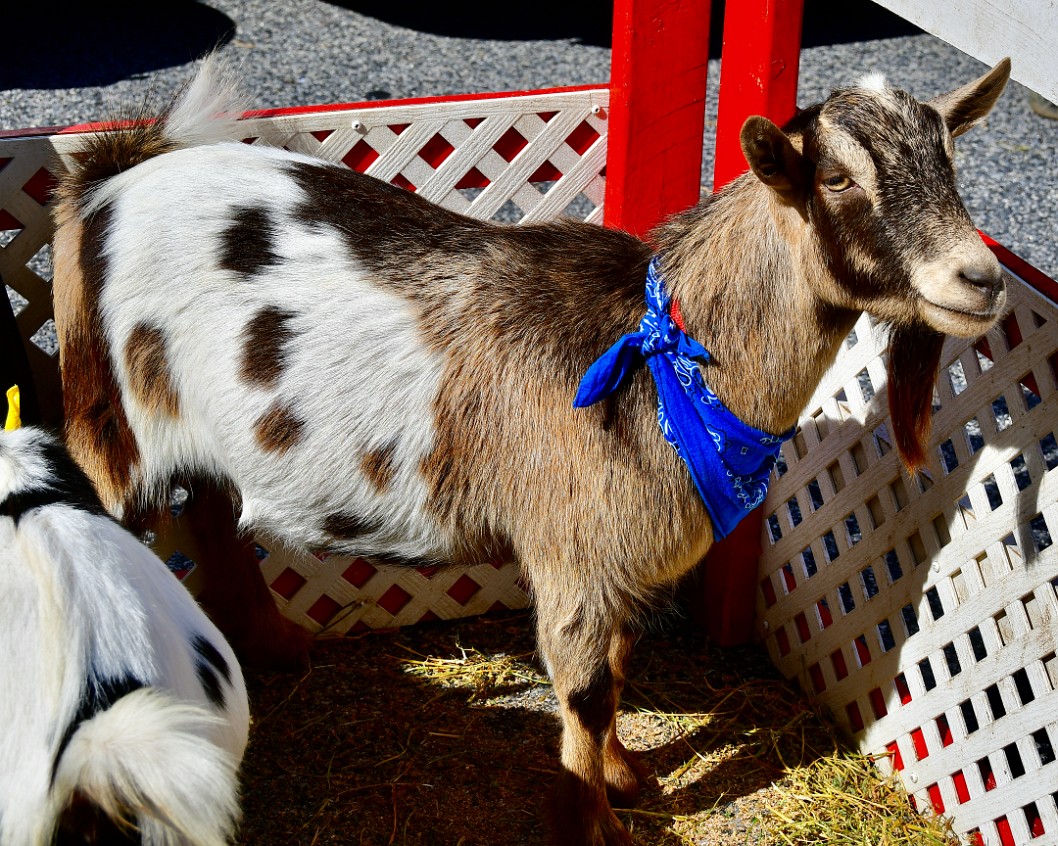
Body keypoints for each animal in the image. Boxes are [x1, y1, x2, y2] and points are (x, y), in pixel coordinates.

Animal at [49, 56, 1007, 841]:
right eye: (837, 179)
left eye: (952, 163)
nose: (983, 278)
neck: (662, 352)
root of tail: (116, 172)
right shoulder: (573, 561)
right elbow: (582, 694)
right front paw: (593, 825)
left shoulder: (619, 564)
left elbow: (616, 672)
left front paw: (626, 778)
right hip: (107, 424)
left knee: (211, 508)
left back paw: (274, 643)